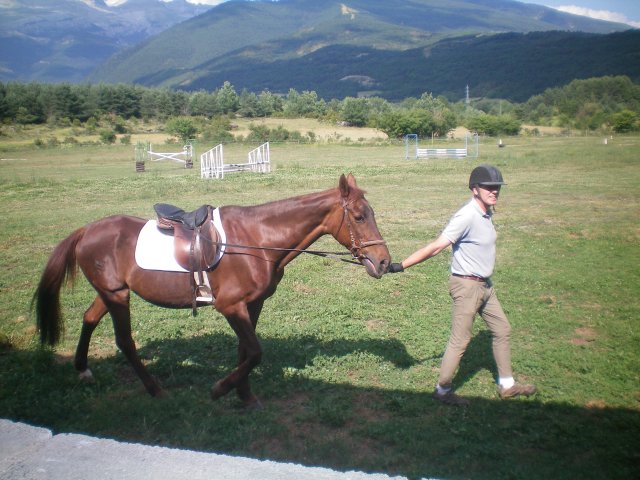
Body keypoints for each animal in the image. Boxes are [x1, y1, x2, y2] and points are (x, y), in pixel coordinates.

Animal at [35, 174, 390, 406]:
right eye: (359, 216)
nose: (384, 262)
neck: (256, 241)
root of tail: (86, 230)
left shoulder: (252, 305)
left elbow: (245, 351)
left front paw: (245, 396)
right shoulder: (230, 306)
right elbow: (256, 352)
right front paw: (221, 389)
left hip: (111, 292)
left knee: (89, 318)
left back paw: (83, 369)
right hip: (117, 296)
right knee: (125, 341)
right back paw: (154, 389)